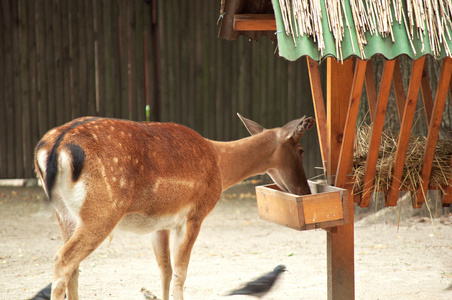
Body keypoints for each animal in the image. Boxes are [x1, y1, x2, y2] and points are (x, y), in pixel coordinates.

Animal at [33, 113, 314, 300]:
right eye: (301, 150)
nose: (306, 191)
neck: (219, 164)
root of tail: (54, 147)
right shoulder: (195, 215)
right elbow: (181, 273)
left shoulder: (160, 223)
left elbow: (165, 271)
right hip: (103, 210)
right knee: (63, 259)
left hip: (65, 213)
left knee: (74, 267)